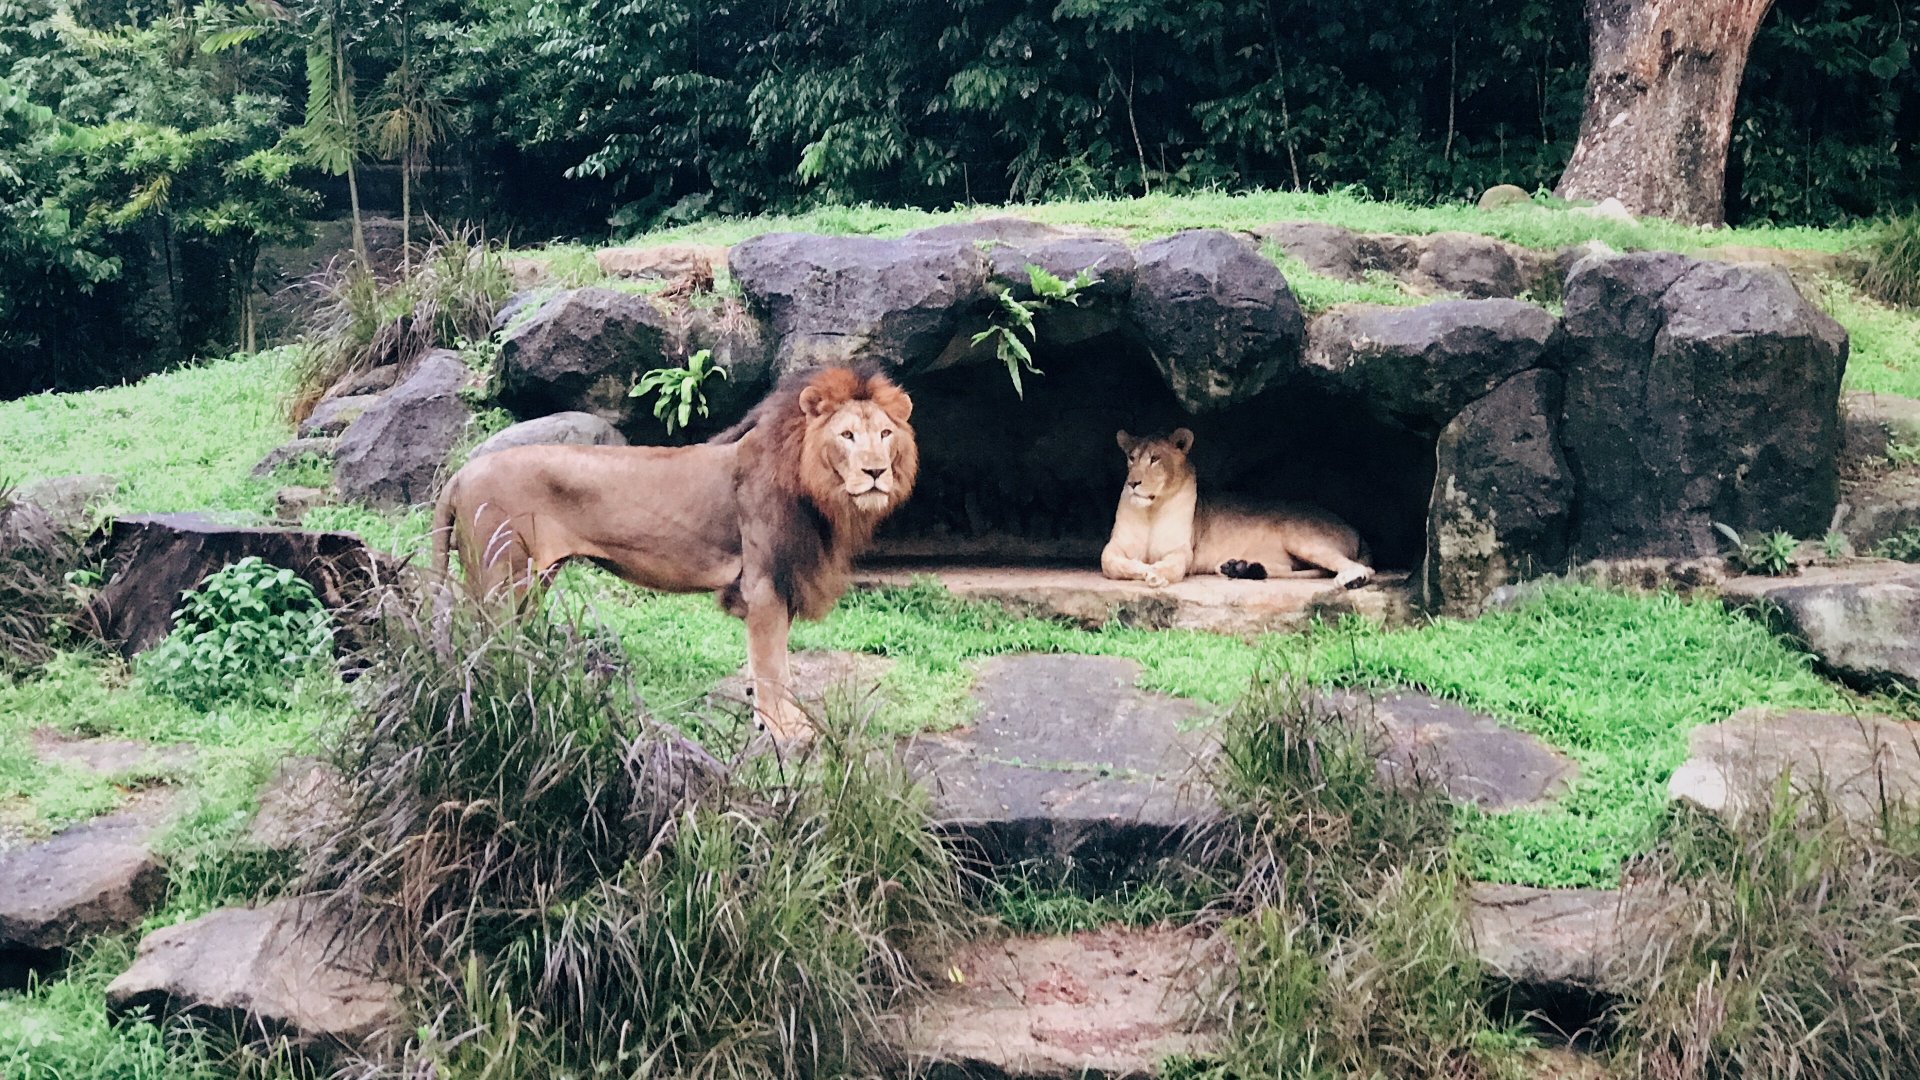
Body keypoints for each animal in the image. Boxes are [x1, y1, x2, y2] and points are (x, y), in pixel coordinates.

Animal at [431, 364, 917, 742]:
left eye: (885, 433)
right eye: (847, 435)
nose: (876, 472)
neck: (815, 487)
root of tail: (461, 475)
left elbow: (777, 665)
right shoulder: (763, 585)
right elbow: (770, 667)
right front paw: (783, 729)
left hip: (532, 579)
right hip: (498, 578)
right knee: (476, 640)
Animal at [1100, 428, 1373, 590]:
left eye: (1155, 459)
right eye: (1131, 458)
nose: (1133, 483)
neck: (1151, 510)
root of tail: (1356, 531)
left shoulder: (1181, 551)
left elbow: (1173, 566)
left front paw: (1156, 574)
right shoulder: (1115, 546)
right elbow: (1110, 562)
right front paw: (1143, 568)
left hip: (1300, 536)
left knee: (1360, 567)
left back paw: (1352, 579)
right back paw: (1241, 568)